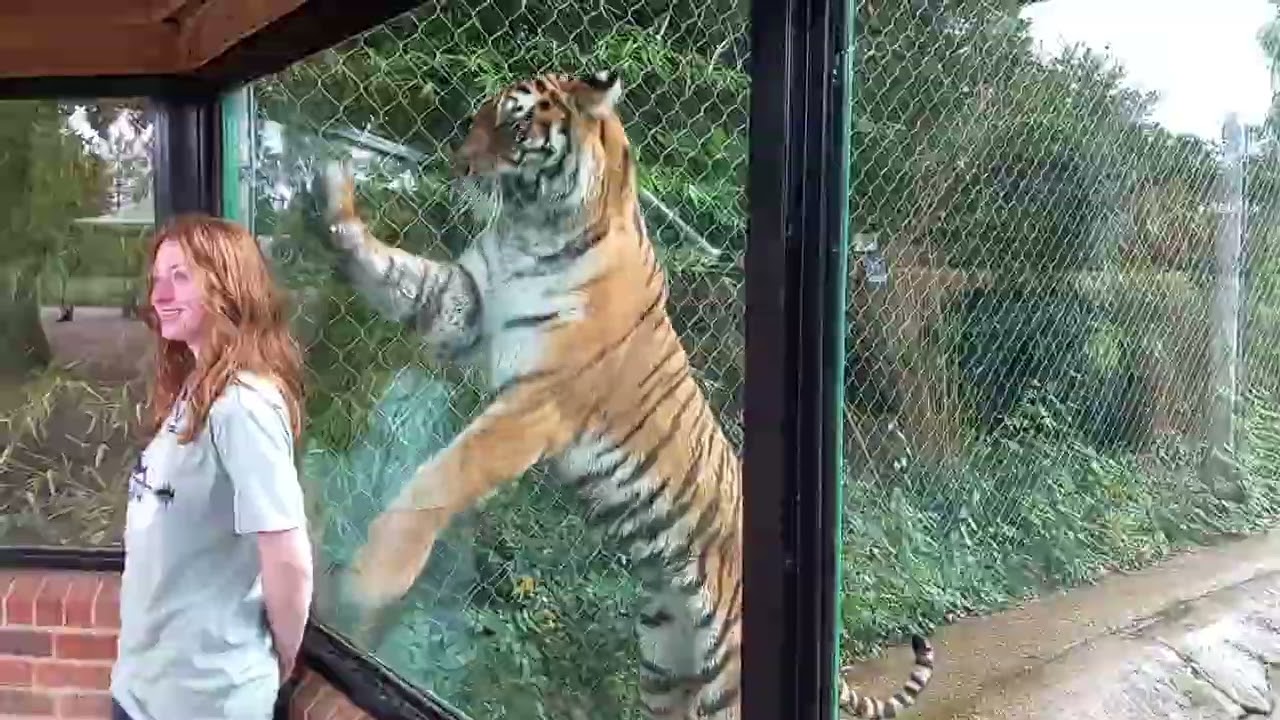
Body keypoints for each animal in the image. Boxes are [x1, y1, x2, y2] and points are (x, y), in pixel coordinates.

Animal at [309, 69, 937, 719]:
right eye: (476, 120)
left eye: (514, 125)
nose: (457, 165)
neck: (528, 227)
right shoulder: (462, 306)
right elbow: (395, 272)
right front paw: (334, 194)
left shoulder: (537, 402)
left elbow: (443, 476)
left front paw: (371, 577)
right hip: (664, 659)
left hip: (729, 677)